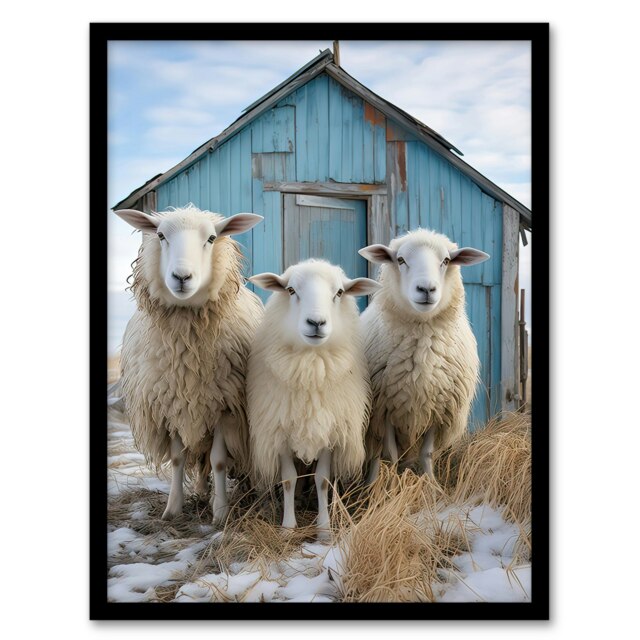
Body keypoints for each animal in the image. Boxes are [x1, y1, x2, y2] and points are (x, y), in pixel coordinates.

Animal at [114, 204, 264, 524]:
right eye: (160, 235)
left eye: (211, 238)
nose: (182, 277)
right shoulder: (168, 406)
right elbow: (178, 459)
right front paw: (173, 509)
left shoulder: (225, 406)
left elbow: (218, 461)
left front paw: (220, 513)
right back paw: (201, 490)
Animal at [246, 259, 381, 539]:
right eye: (290, 290)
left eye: (339, 292)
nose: (316, 322)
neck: (311, 365)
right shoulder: (280, 431)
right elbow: (288, 480)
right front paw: (287, 527)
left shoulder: (331, 432)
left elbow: (323, 480)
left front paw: (324, 529)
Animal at [358, 228, 489, 482]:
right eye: (400, 260)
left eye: (446, 260)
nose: (427, 289)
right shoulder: (384, 411)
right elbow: (390, 454)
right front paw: (393, 486)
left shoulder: (440, 410)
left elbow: (427, 454)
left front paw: (431, 485)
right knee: (377, 456)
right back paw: (370, 484)